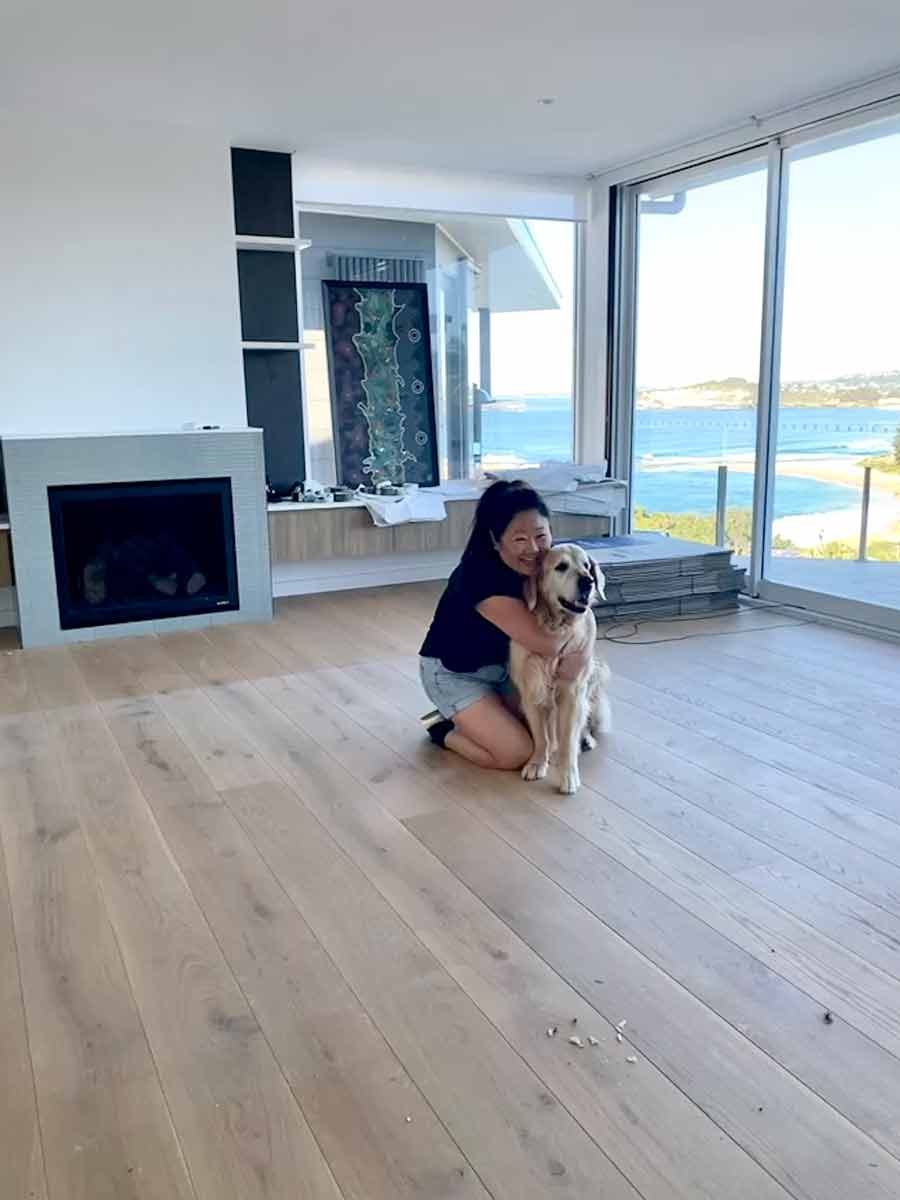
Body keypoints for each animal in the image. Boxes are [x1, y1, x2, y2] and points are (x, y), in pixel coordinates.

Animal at [509, 544, 611, 795]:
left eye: (586, 565)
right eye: (561, 566)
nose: (588, 581)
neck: (554, 627)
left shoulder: (573, 692)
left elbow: (567, 742)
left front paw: (567, 775)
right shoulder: (531, 690)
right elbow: (540, 737)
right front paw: (537, 763)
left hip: (596, 676)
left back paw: (586, 740)